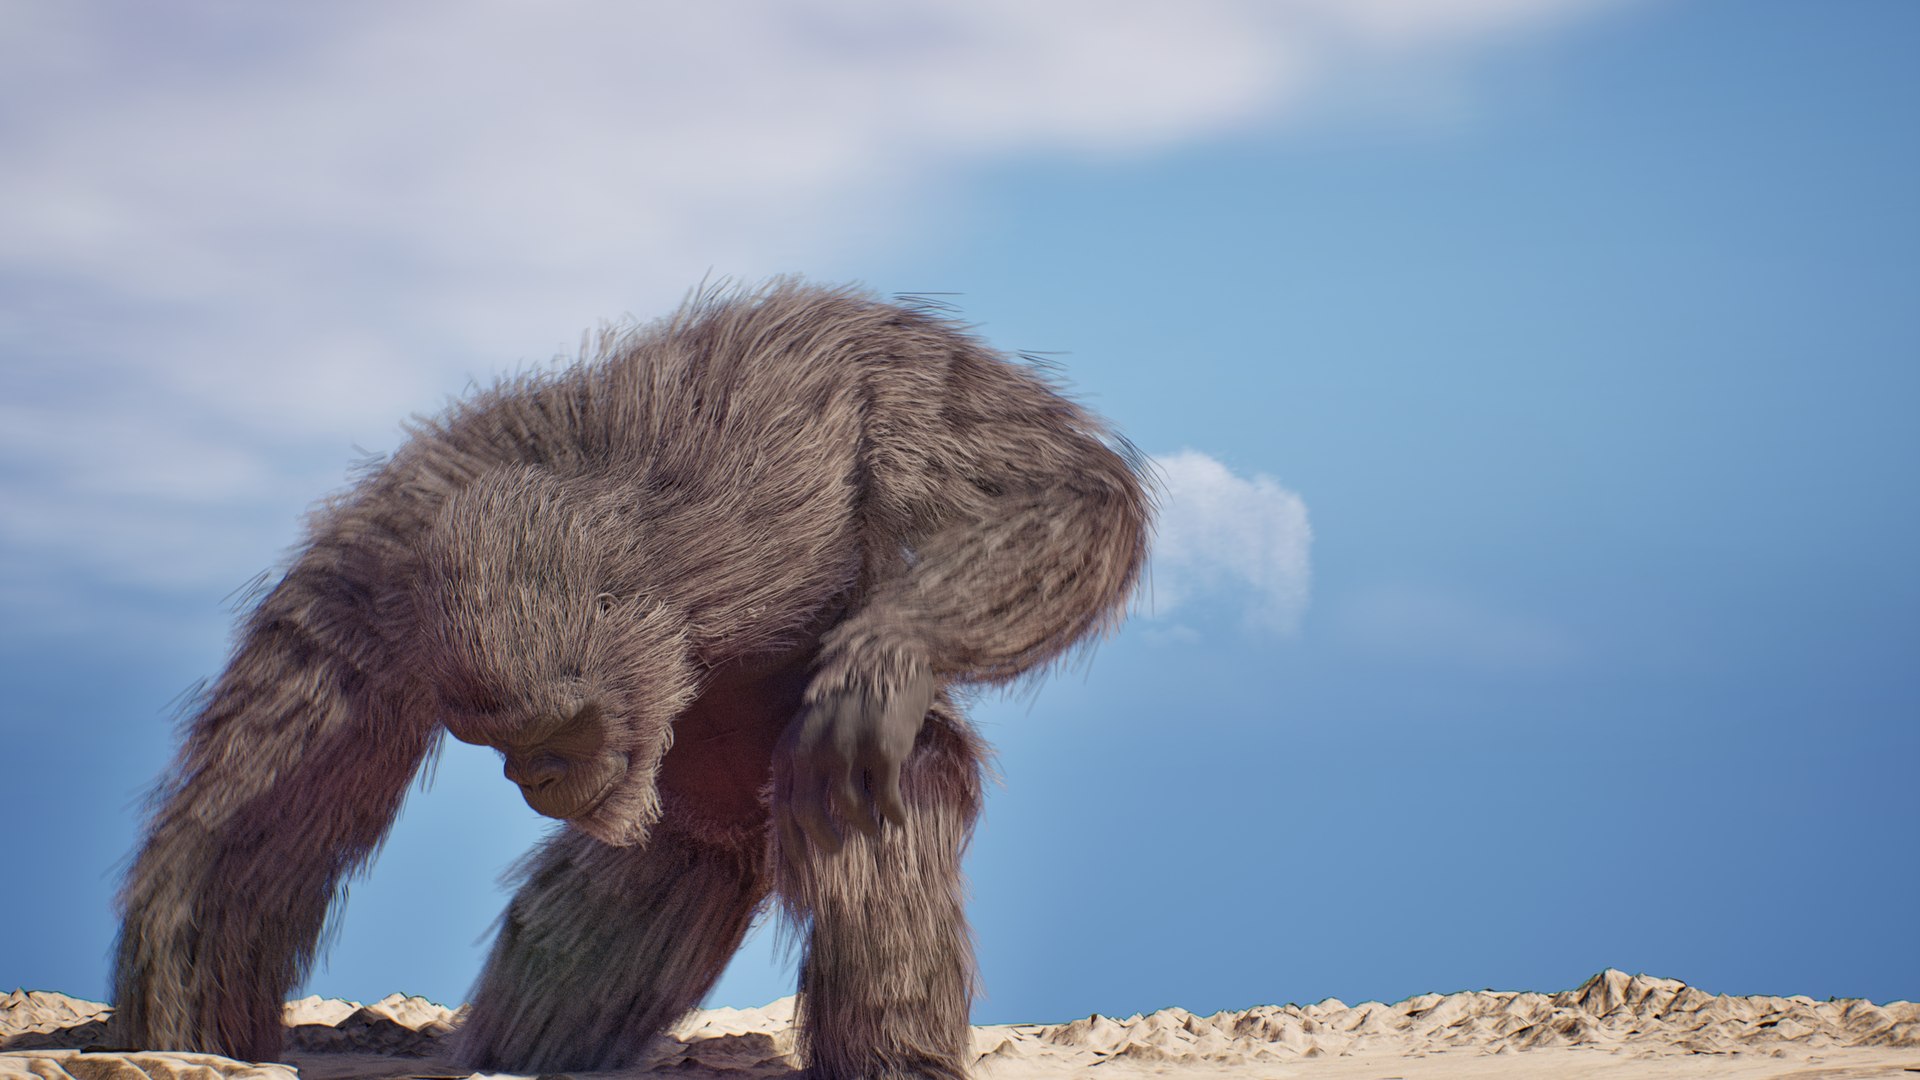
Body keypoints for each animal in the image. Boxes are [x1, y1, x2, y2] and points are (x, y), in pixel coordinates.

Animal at [112, 279, 1152, 1079]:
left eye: (548, 734)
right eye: (492, 742)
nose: (528, 775)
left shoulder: (805, 400)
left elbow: (1058, 490)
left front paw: (885, 659)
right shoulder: (384, 571)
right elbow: (246, 831)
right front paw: (185, 1028)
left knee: (873, 790)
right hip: (687, 842)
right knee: (585, 929)